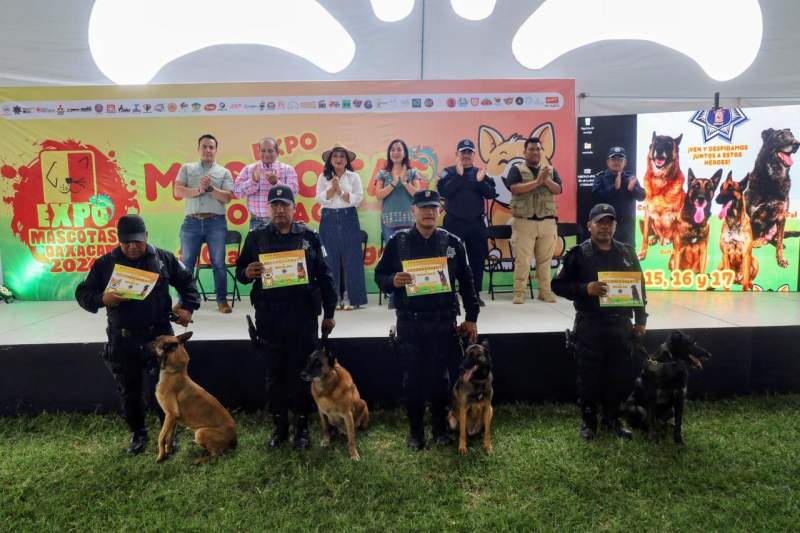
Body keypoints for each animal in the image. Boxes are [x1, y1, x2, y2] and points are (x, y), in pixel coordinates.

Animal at [748, 125, 796, 266]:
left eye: (792, 136)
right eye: (780, 135)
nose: (797, 144)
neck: (774, 179)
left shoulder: (781, 216)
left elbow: (779, 241)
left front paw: (781, 258)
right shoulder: (750, 215)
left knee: (775, 238)